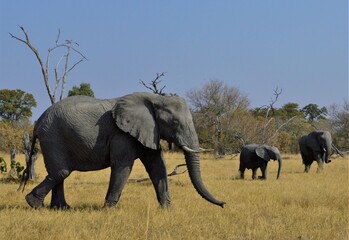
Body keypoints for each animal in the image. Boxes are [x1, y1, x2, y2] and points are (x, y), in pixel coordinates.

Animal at [19, 93, 226, 209]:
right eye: (174, 123)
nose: (224, 204)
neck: (156, 98)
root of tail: (37, 122)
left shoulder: (148, 130)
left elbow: (157, 166)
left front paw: (167, 211)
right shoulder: (121, 134)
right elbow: (122, 166)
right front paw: (108, 211)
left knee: (60, 173)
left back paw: (61, 208)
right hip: (52, 137)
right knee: (61, 172)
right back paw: (34, 204)